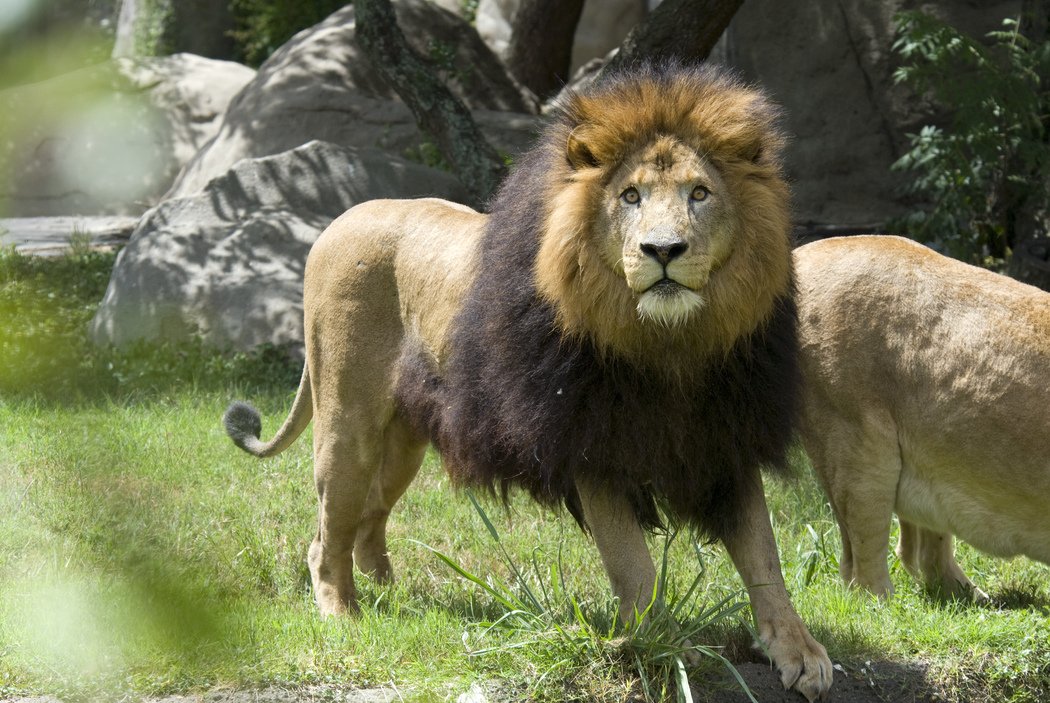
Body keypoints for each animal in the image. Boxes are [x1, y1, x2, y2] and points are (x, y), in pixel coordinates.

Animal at [224, 63, 832, 701]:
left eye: (700, 193)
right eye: (630, 196)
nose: (662, 250)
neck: (671, 347)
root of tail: (338, 220)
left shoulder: (725, 439)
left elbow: (764, 557)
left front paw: (800, 651)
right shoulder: (589, 444)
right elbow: (634, 566)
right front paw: (666, 650)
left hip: (401, 445)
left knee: (368, 520)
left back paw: (394, 599)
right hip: (348, 425)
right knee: (326, 536)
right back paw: (344, 614)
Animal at [795, 235, 1050, 601]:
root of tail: (805, 251)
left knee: (919, 551)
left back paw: (971, 596)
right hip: (856, 447)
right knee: (862, 557)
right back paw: (883, 601)